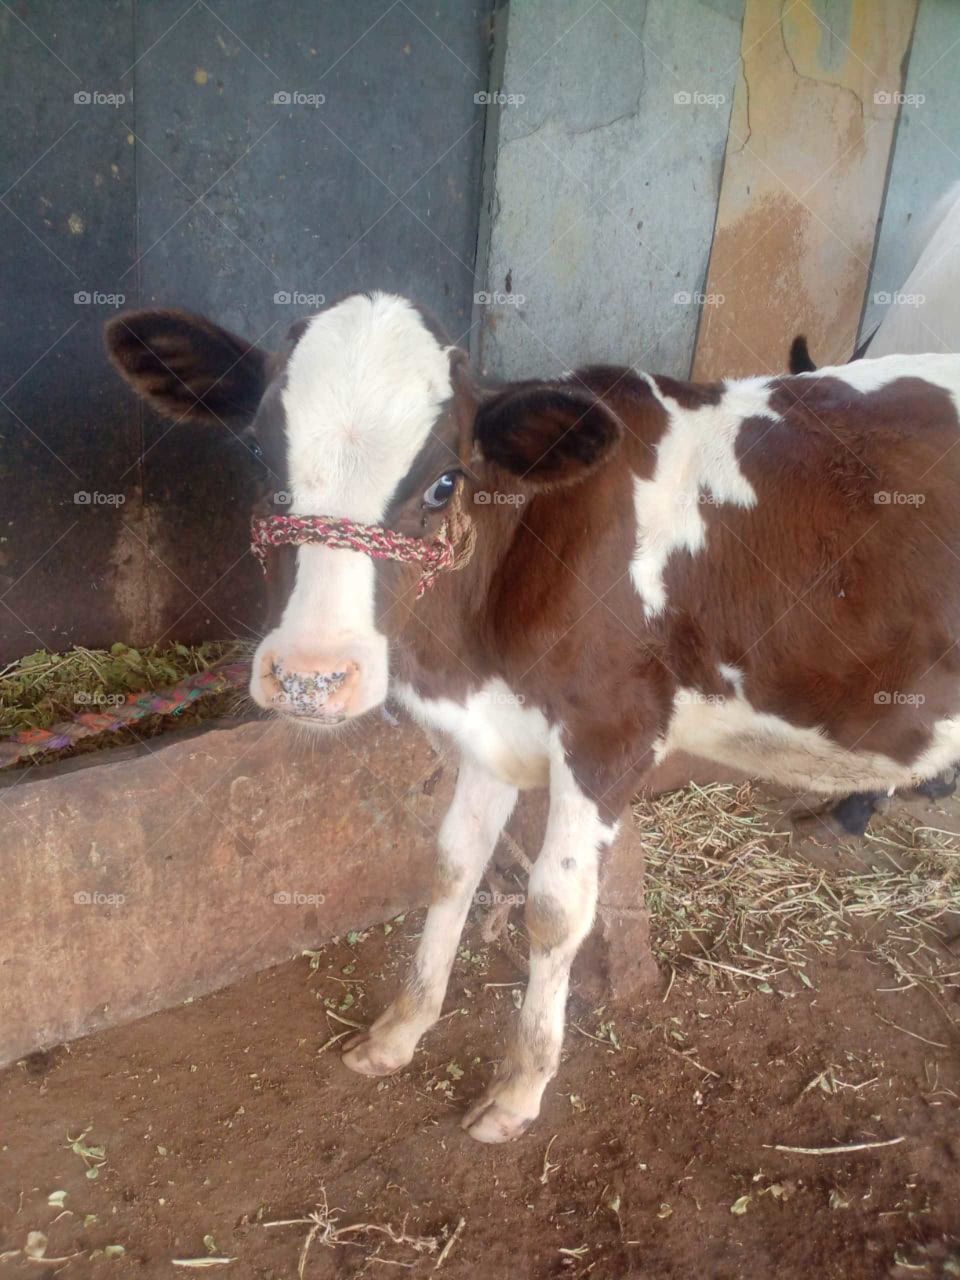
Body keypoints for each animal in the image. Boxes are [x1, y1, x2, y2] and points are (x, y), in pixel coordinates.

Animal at [106, 292, 960, 1142]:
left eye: (444, 482)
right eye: (257, 455)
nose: (311, 678)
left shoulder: (609, 737)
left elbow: (554, 909)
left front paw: (519, 1089)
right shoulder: (491, 734)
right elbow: (453, 865)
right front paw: (399, 1032)